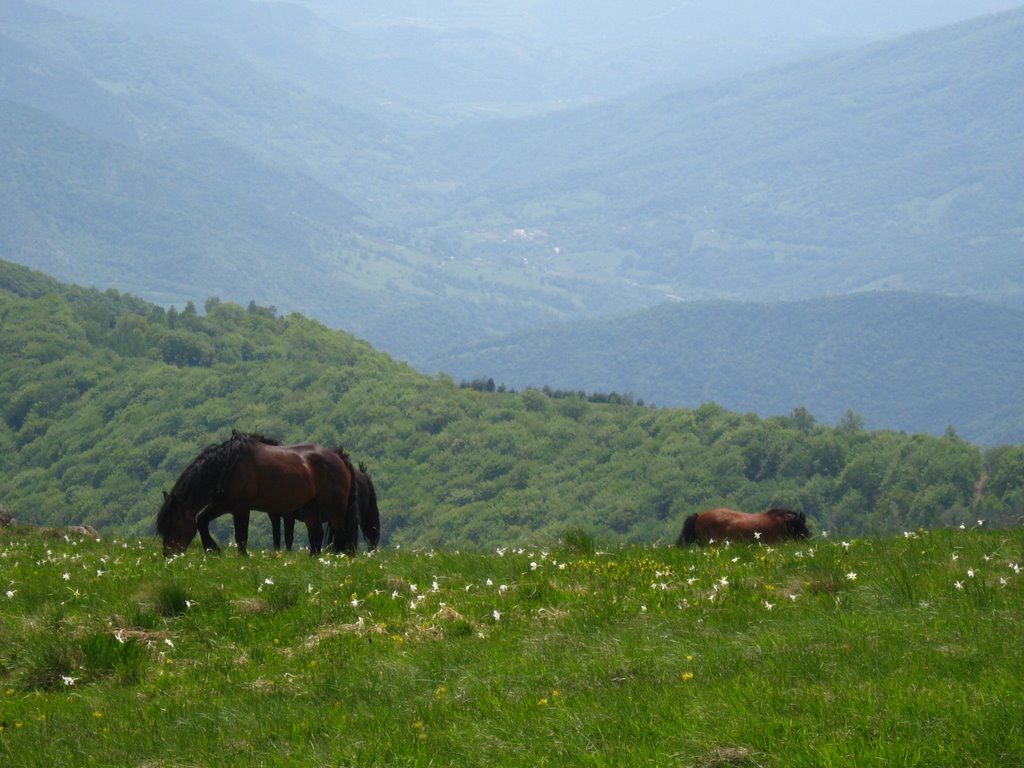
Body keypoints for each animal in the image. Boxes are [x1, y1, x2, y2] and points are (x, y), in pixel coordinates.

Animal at [154, 434, 356, 561]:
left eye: (174, 524)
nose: (168, 555)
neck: (226, 466)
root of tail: (339, 459)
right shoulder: (222, 505)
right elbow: (201, 520)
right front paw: (212, 549)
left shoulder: (241, 508)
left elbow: (241, 535)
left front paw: (242, 557)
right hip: (311, 508)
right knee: (317, 534)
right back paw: (313, 559)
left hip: (334, 506)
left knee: (340, 532)